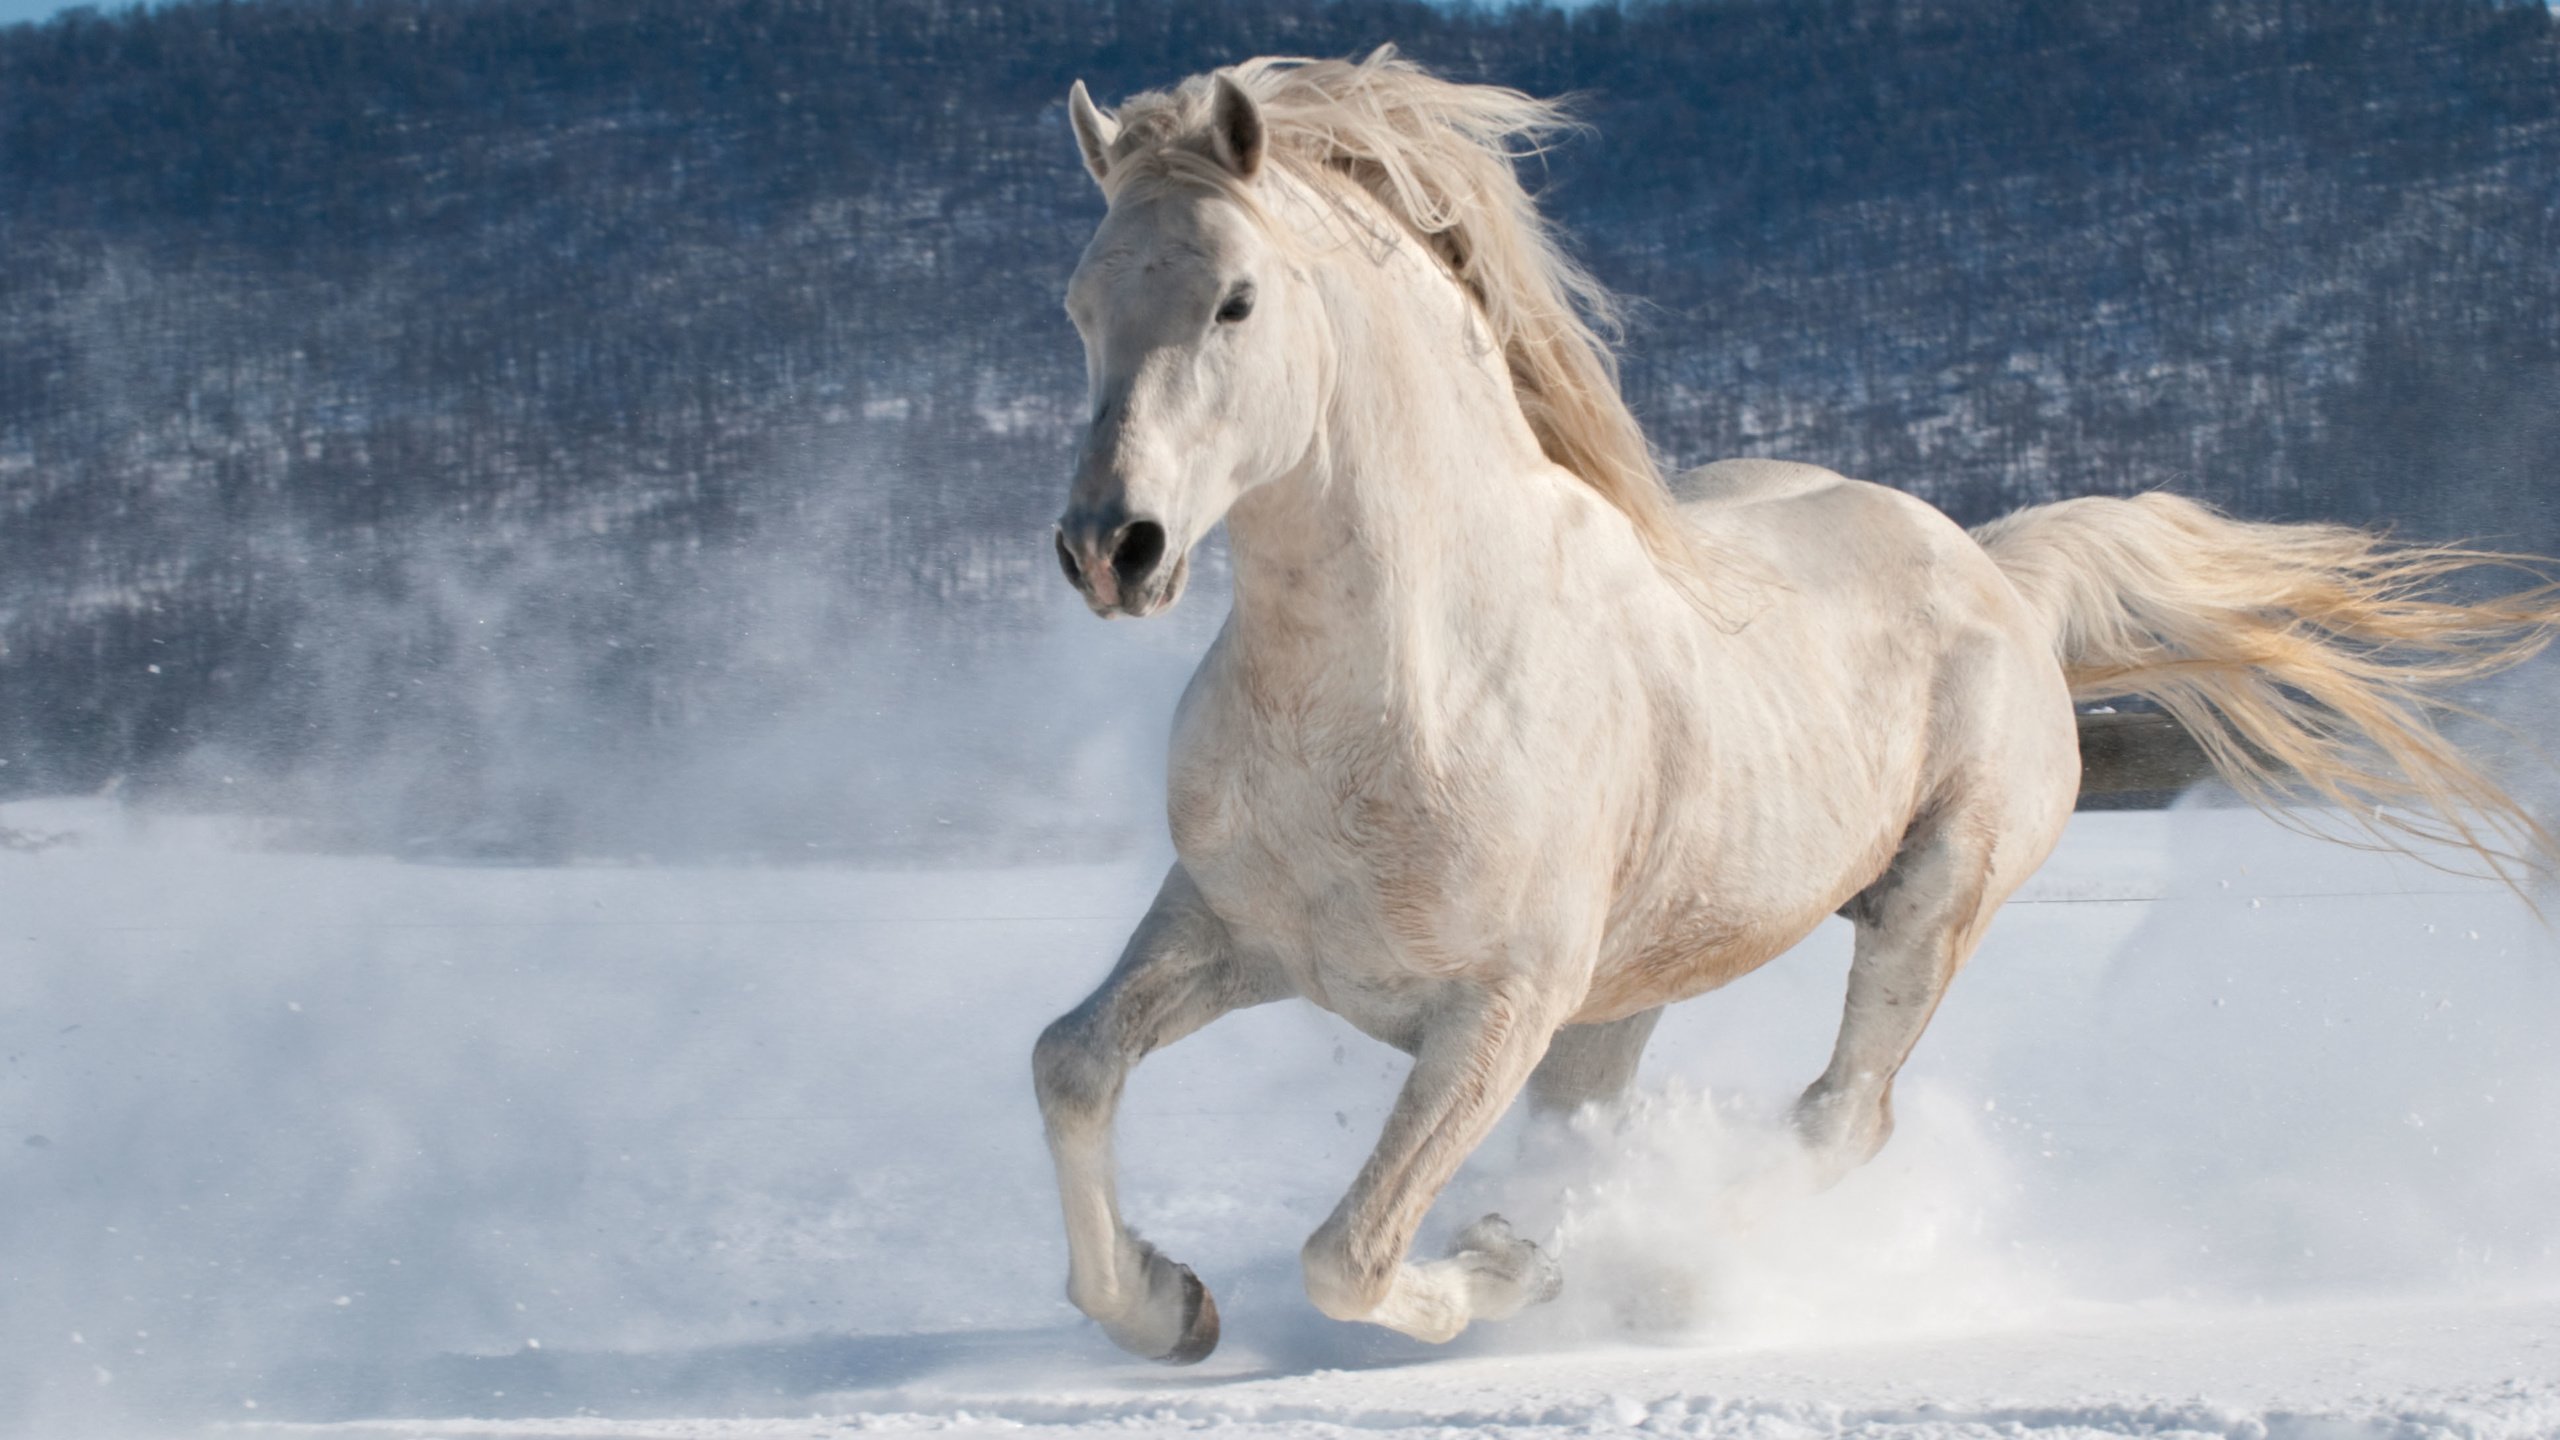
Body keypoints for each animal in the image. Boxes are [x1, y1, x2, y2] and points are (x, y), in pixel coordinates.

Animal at [1029, 53, 2549, 1352]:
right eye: (1081, 304)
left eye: (1235, 299)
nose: (1113, 548)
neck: (1403, 687)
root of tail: (1994, 574)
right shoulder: (1230, 932)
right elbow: (1070, 1063)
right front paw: (1167, 1308)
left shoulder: (1498, 1008)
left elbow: (1349, 1255)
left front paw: (1502, 1273)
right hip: (1631, 984)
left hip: (1930, 900)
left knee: (1839, 1119)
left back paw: (1662, 1271)